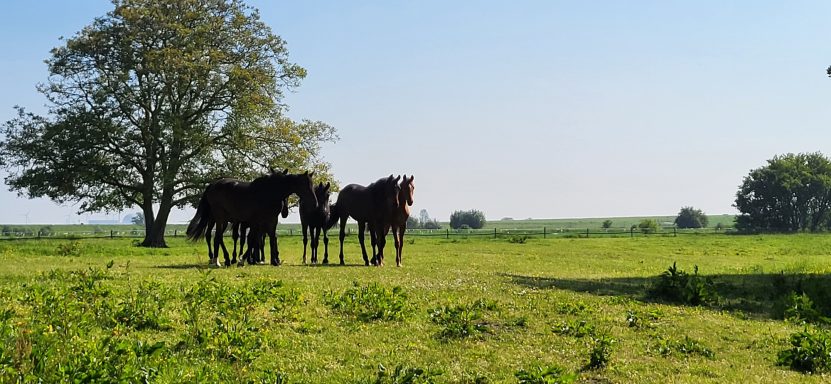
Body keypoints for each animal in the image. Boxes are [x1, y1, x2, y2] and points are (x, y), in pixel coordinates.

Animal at [187, 172, 316, 268]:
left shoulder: (270, 220)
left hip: (223, 220)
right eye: (305, 184)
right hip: (220, 218)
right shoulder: (256, 221)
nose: (314, 201)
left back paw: (220, 260)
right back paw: (221, 260)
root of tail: (212, 185)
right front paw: (242, 260)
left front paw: (274, 261)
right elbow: (252, 240)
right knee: (217, 236)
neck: (269, 193)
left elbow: (269, 238)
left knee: (217, 237)